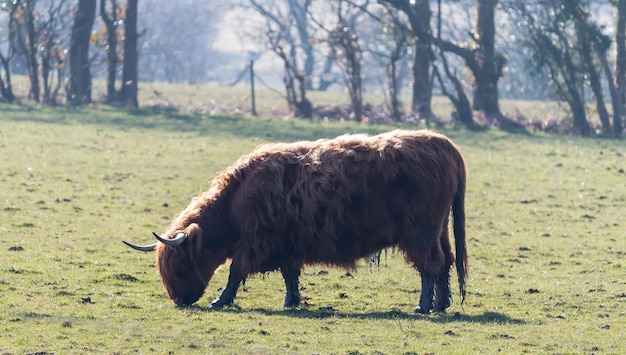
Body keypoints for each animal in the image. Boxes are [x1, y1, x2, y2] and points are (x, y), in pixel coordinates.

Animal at [123, 129, 464, 312]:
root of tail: (443, 143)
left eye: (180, 264)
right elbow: (290, 274)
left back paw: (423, 305)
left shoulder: (255, 241)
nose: (180, 300)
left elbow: (236, 271)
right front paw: (292, 301)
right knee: (446, 261)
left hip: (419, 230)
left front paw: (220, 300)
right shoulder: (286, 243)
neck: (234, 201)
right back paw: (441, 304)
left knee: (430, 265)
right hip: (438, 229)